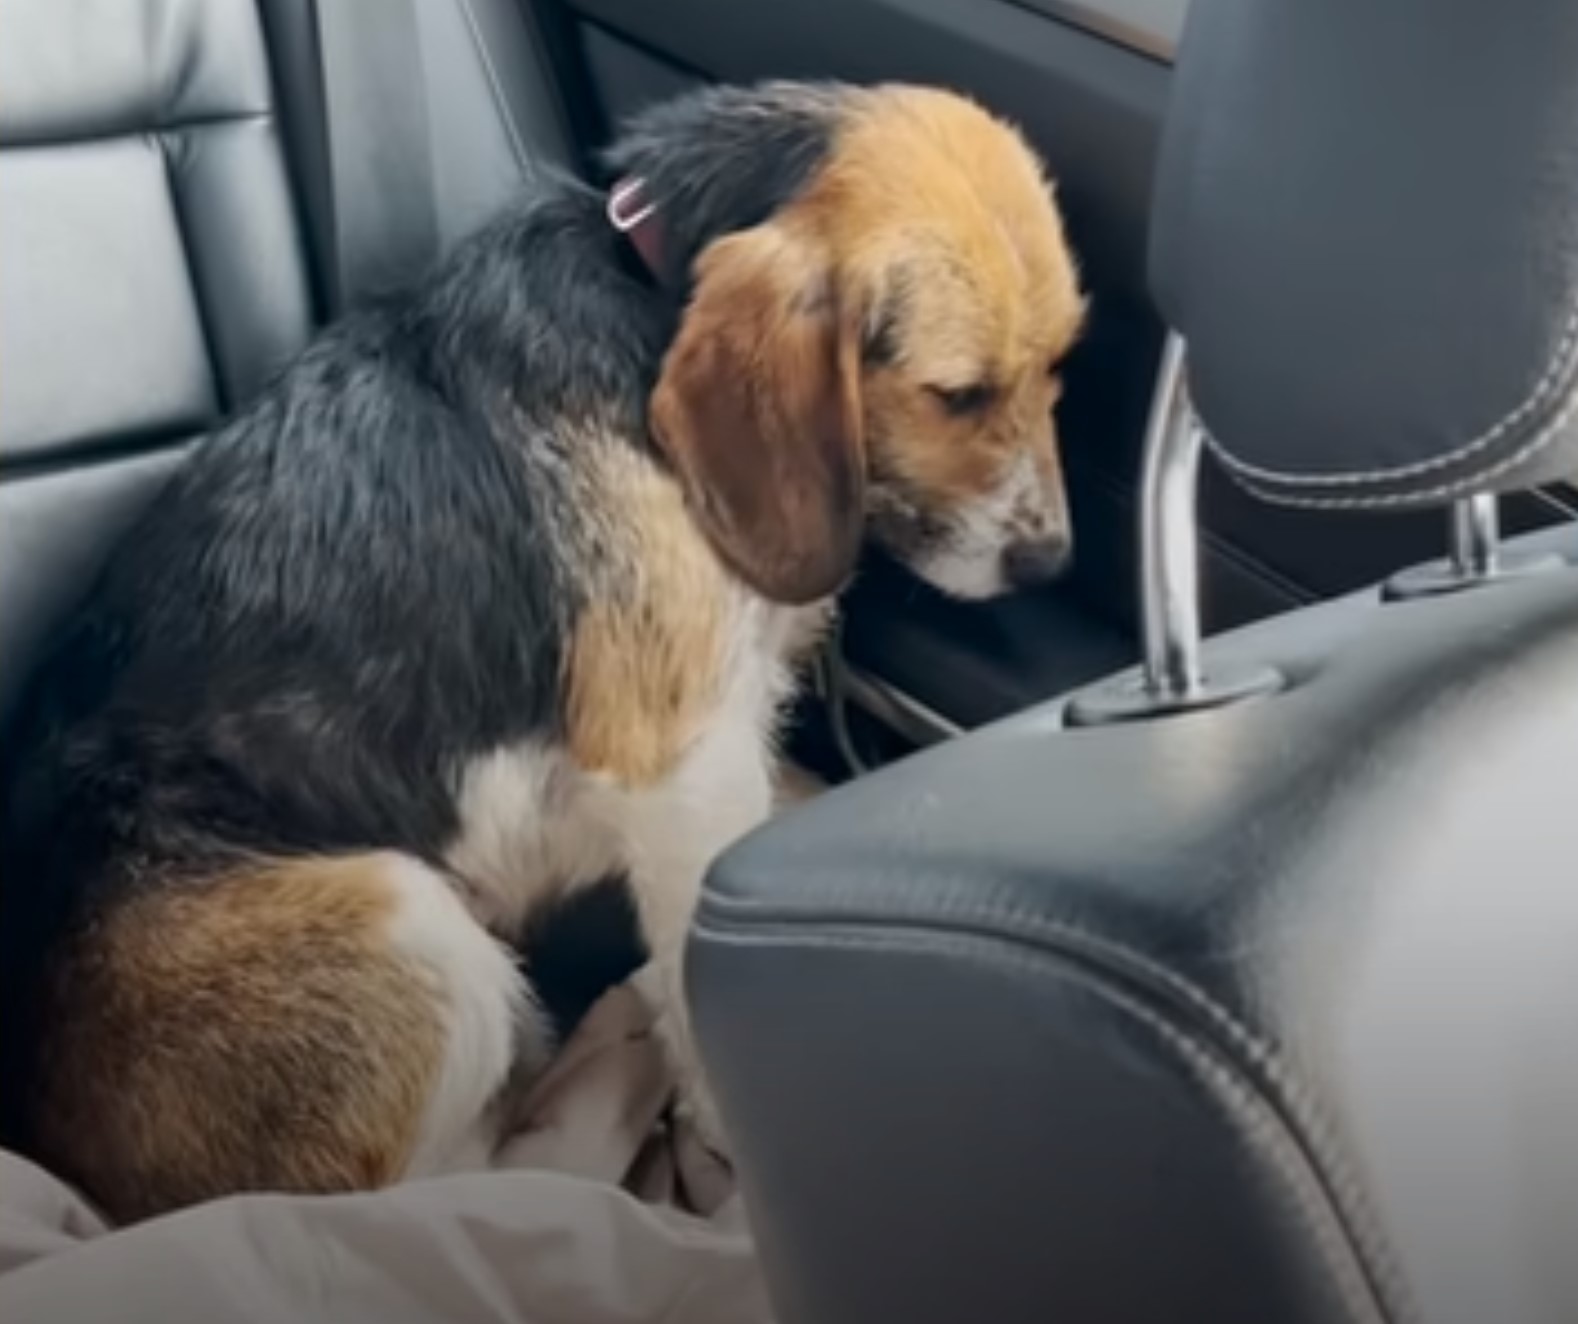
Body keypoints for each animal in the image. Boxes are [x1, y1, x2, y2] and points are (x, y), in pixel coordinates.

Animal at [0, 80, 1085, 1224]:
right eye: (956, 394)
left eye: (1060, 362)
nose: (1052, 560)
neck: (647, 286)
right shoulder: (682, 766)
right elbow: (696, 969)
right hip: (411, 937)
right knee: (433, 1195)